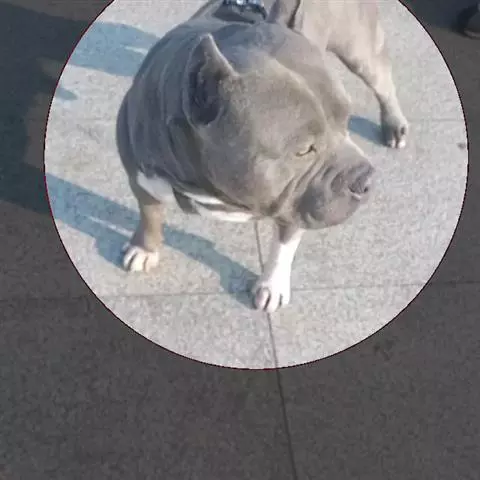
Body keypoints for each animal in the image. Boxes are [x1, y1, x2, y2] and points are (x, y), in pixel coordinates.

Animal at [116, 0, 408, 313]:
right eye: (303, 149)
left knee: (383, 79)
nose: (366, 179)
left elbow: (283, 245)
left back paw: (395, 124)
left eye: (346, 121)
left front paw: (272, 285)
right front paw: (145, 248)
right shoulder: (140, 177)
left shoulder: (295, 201)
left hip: (359, 47)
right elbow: (150, 214)